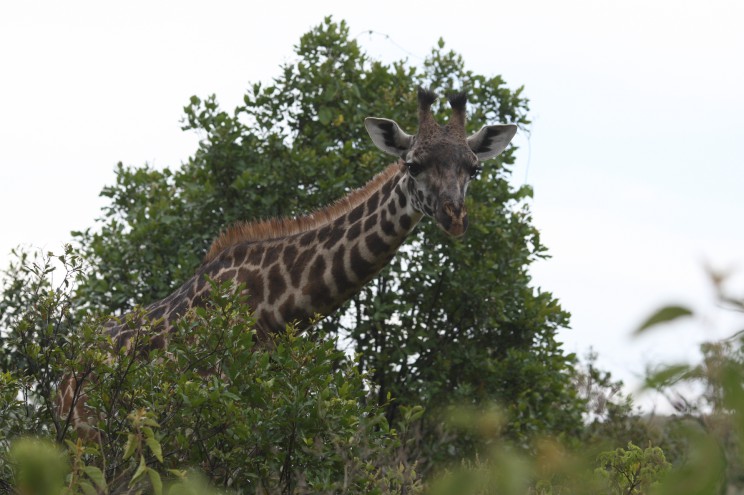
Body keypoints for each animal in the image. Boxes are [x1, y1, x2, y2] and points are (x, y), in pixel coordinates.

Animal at [55, 87, 516, 440]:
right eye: (413, 164)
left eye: (473, 169)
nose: (455, 217)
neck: (272, 311)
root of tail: (64, 372)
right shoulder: (203, 411)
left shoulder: (268, 412)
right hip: (86, 434)